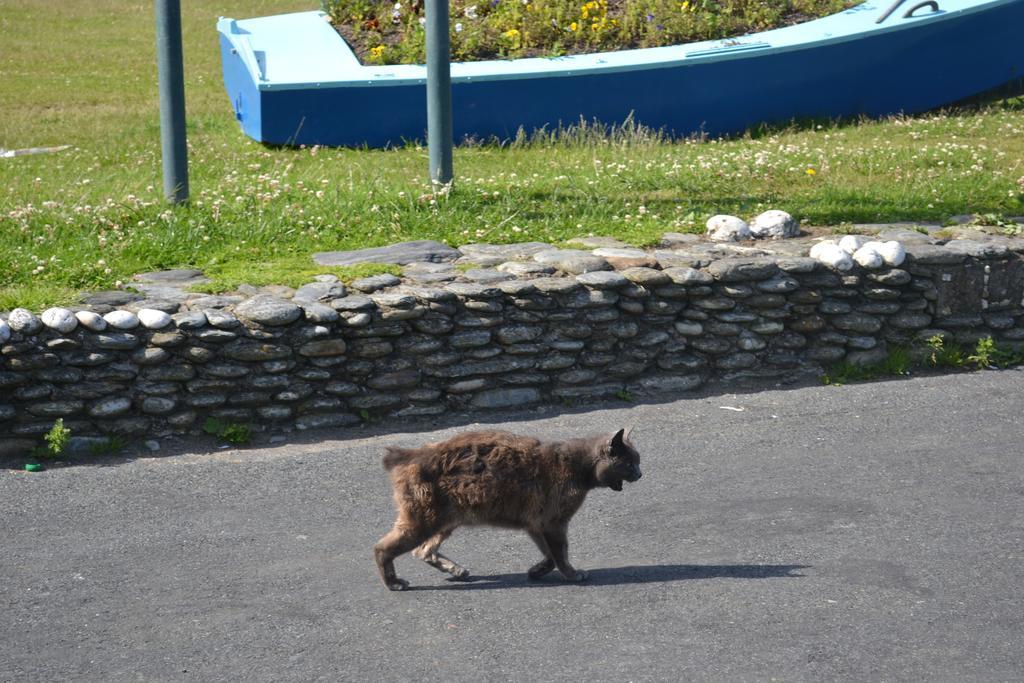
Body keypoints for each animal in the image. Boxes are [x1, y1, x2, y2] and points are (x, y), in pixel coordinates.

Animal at [372, 430, 638, 589]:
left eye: (637, 461)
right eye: (630, 463)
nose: (640, 473)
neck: (579, 467)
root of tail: (411, 453)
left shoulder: (536, 523)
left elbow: (550, 555)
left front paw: (537, 570)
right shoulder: (553, 522)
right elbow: (560, 553)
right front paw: (572, 574)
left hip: (445, 519)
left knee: (423, 550)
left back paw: (456, 570)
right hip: (424, 519)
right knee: (382, 548)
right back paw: (394, 582)